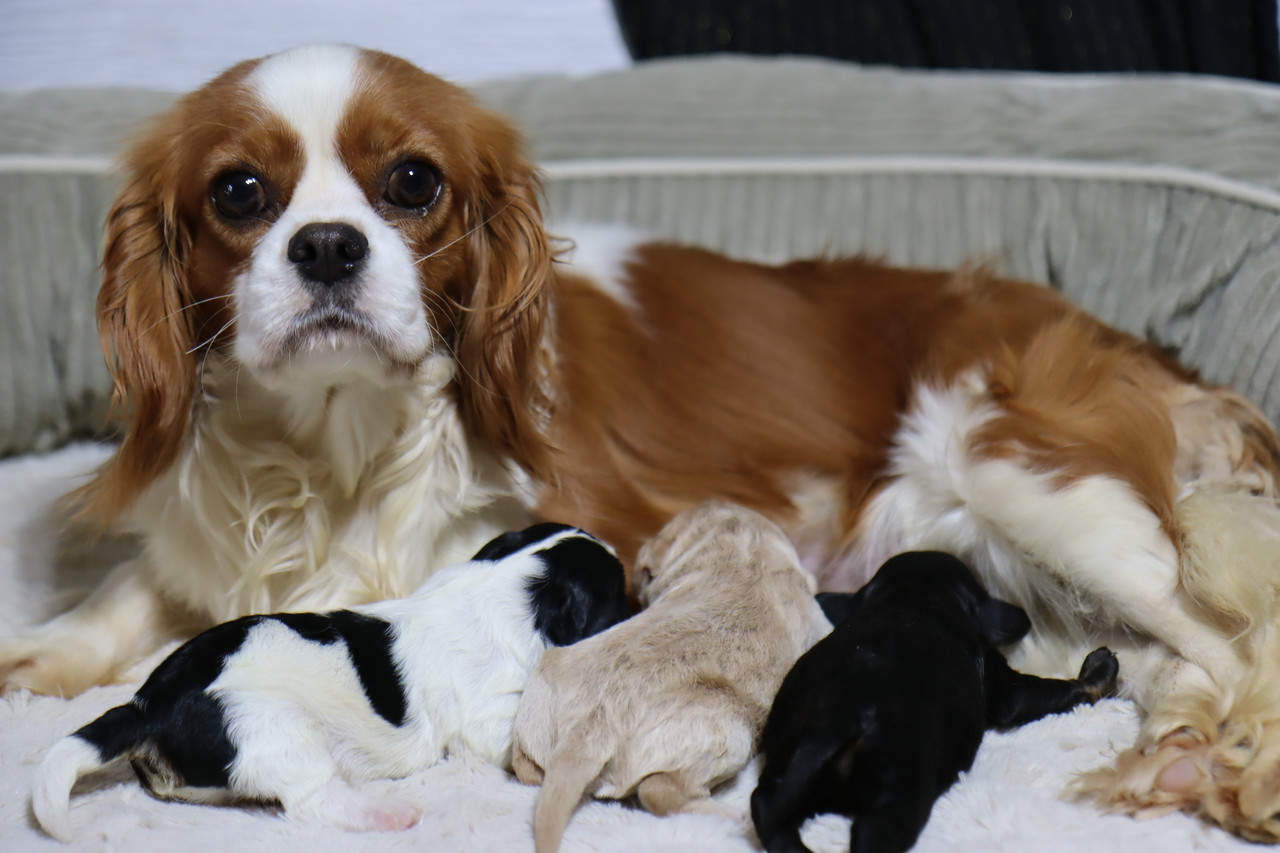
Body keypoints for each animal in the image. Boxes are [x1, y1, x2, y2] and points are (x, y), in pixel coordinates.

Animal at [30, 522, 629, 835]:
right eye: (618, 593)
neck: (511, 583)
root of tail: (149, 703)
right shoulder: (485, 715)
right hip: (279, 731)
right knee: (312, 802)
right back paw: (388, 813)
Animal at [509, 499, 829, 850]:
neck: (742, 550)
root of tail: (588, 730)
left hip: (541, 696)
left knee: (526, 768)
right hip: (727, 729)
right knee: (659, 790)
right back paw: (732, 817)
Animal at [747, 550, 1121, 850]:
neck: (914, 594)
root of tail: (837, 722)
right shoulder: (1001, 680)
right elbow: (1056, 689)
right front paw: (1100, 669)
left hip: (791, 764)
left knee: (767, 807)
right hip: (899, 792)